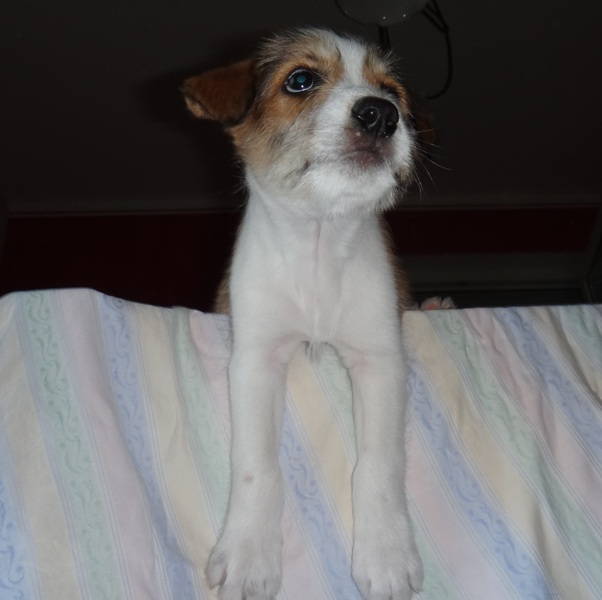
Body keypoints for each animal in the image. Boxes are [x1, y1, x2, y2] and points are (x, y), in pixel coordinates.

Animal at [182, 28, 424, 600]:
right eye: (300, 80)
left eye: (393, 93)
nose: (381, 115)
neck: (319, 237)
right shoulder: (255, 360)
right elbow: (257, 466)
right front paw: (249, 552)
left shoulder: (380, 360)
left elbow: (379, 465)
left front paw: (386, 552)